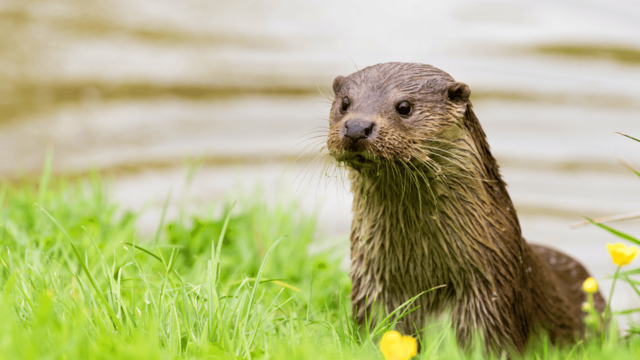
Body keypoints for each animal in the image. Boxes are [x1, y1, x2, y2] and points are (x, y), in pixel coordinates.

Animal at [324, 62, 604, 352]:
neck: (424, 277)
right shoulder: (371, 290)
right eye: (345, 103)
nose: (357, 127)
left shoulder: (490, 298)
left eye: (404, 106)